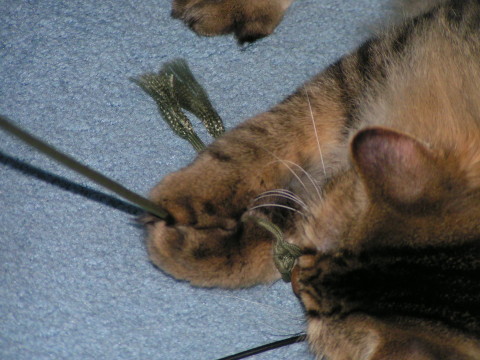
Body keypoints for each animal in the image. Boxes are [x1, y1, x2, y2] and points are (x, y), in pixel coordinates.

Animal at [144, 1, 480, 358]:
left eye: (316, 314)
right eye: (318, 248)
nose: (294, 280)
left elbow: (282, 223)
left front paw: (197, 248)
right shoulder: (391, 54)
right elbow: (274, 134)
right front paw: (191, 194)